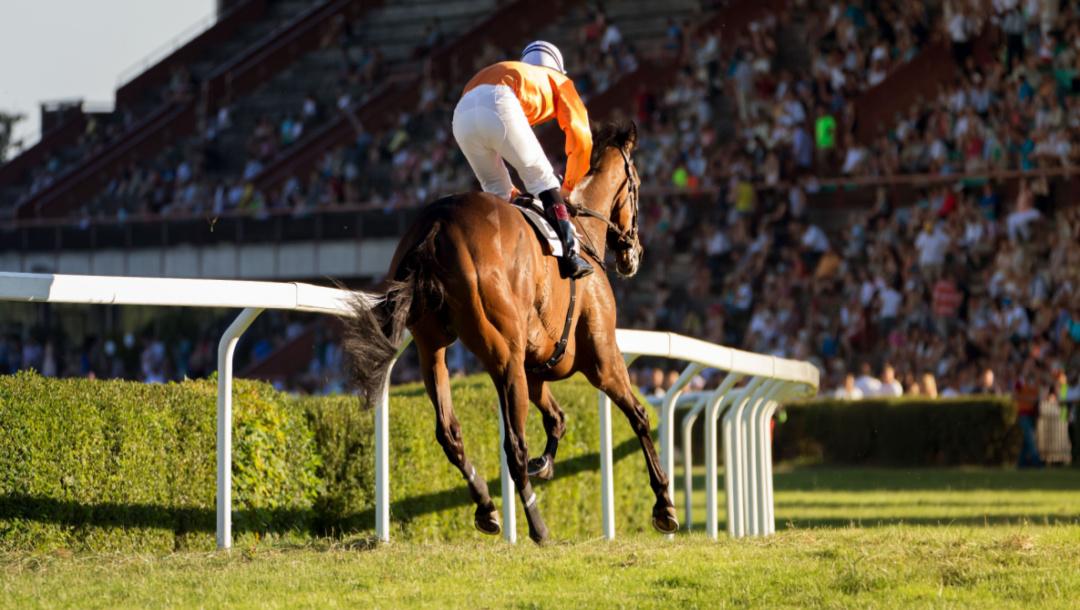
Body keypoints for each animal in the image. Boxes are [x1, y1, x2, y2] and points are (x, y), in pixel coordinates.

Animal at [343, 121, 678, 544]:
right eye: (638, 185)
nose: (634, 252)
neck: (583, 230)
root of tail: (436, 225)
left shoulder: (534, 369)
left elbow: (558, 418)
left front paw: (545, 463)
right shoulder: (603, 358)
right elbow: (638, 417)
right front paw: (664, 504)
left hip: (432, 348)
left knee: (450, 432)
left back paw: (487, 508)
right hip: (503, 356)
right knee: (513, 444)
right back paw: (537, 526)